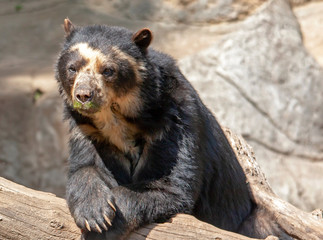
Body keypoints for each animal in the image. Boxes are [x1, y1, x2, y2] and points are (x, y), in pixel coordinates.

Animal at [56, 19, 258, 240]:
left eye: (108, 70)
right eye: (72, 68)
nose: (84, 95)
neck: (117, 119)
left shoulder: (173, 125)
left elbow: (169, 185)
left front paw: (104, 228)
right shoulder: (89, 131)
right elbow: (85, 168)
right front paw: (95, 215)